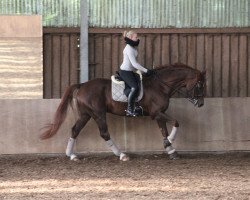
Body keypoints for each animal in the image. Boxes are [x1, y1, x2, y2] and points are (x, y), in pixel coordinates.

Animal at [40, 63, 205, 162]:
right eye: (199, 85)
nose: (201, 104)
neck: (161, 86)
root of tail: (82, 85)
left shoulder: (160, 114)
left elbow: (163, 130)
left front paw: (170, 149)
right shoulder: (156, 113)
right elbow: (176, 122)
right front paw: (170, 141)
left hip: (85, 114)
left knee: (75, 130)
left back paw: (72, 155)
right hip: (98, 113)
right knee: (104, 133)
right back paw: (122, 155)